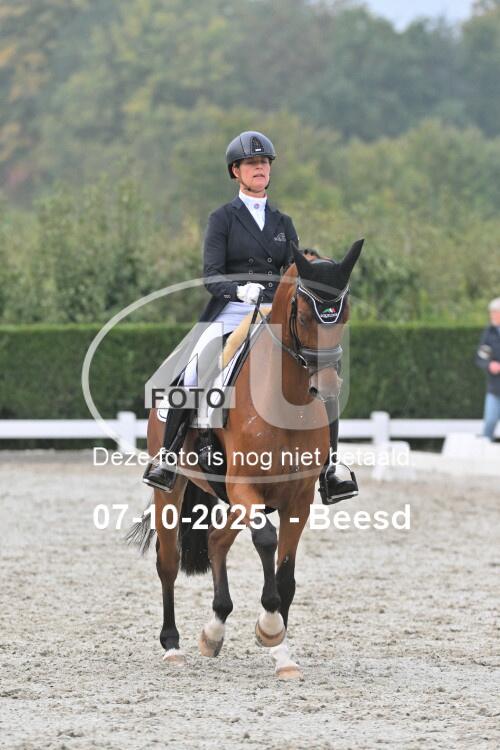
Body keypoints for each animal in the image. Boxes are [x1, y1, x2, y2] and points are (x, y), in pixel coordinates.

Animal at [127, 240, 364, 679]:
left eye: (344, 314)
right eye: (303, 315)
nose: (325, 387)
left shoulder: (297, 500)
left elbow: (286, 577)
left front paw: (282, 652)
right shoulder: (245, 489)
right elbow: (267, 542)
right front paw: (270, 629)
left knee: (217, 540)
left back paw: (213, 632)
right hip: (174, 488)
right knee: (169, 561)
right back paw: (173, 645)